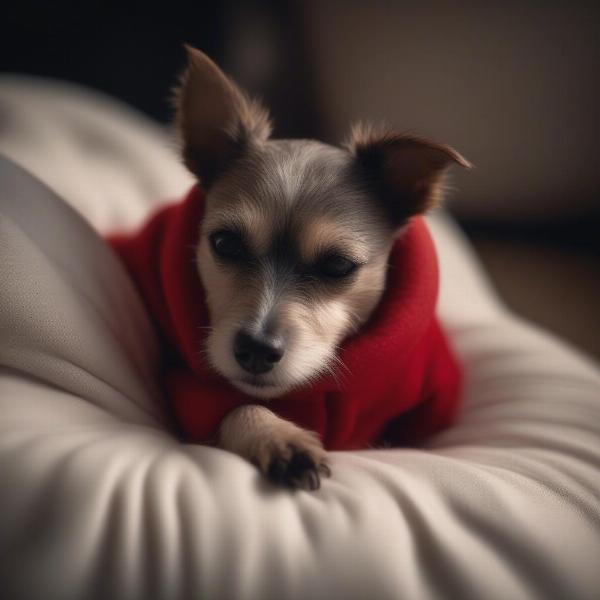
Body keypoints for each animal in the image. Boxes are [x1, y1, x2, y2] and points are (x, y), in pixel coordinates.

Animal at [171, 45, 472, 488]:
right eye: (225, 243)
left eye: (337, 265)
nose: (256, 350)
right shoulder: (191, 395)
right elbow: (237, 406)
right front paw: (277, 437)